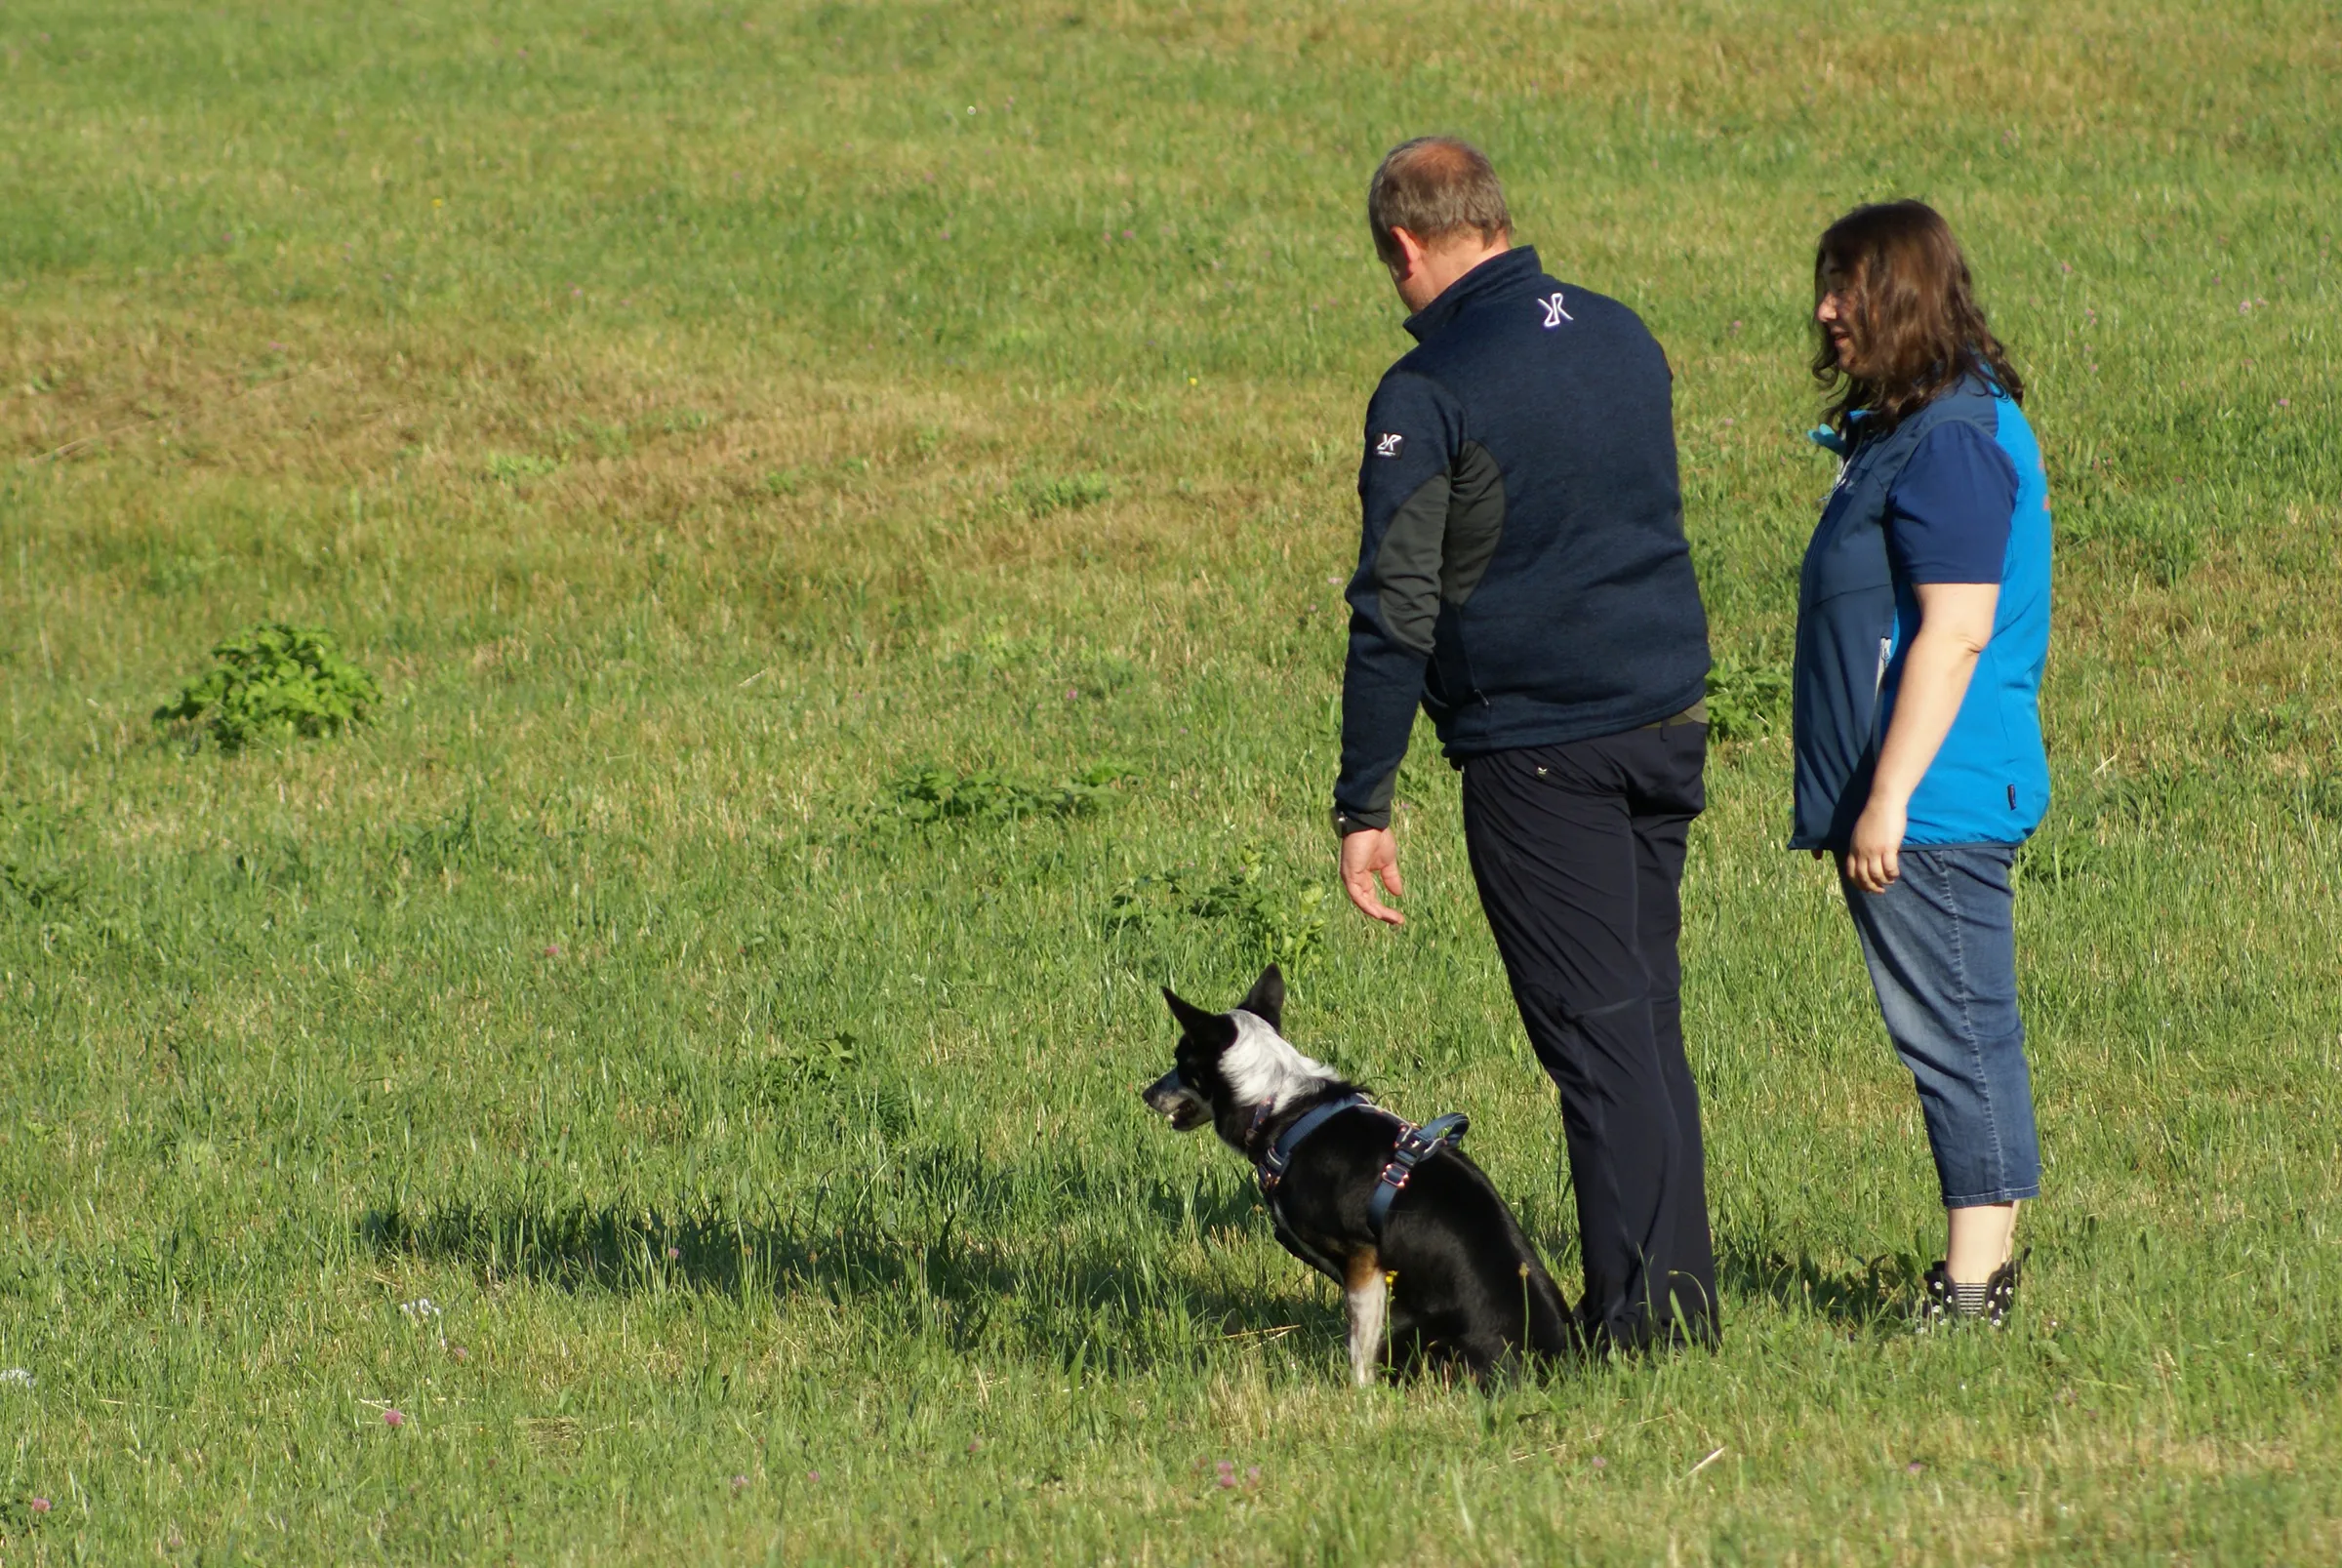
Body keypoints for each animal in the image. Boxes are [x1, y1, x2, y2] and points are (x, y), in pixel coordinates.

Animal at [1138, 964, 1573, 1385]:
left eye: (1182, 1062)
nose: (1146, 1093)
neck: (1280, 1107)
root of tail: (1559, 1363)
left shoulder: (1363, 1261)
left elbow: (1360, 1347)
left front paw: (1358, 1397)